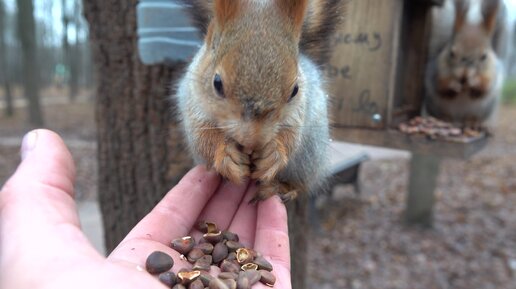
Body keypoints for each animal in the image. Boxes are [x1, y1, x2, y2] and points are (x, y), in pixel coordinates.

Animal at [171, 0, 344, 202]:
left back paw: (283, 188)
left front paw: (274, 153)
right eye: (217, 83)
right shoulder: (193, 103)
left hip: (310, 157)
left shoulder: (299, 109)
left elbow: (292, 135)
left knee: (302, 184)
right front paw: (226, 154)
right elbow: (203, 137)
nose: (253, 142)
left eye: (295, 90)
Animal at [424, 0, 512, 128]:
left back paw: (472, 121)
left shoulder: (491, 74)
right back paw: (446, 119)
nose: (464, 75)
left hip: (484, 108)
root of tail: (459, 120)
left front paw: (474, 82)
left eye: (484, 56)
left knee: (472, 117)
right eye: (451, 53)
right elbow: (442, 84)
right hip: (436, 106)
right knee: (444, 115)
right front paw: (453, 84)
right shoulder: (437, 71)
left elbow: (485, 86)